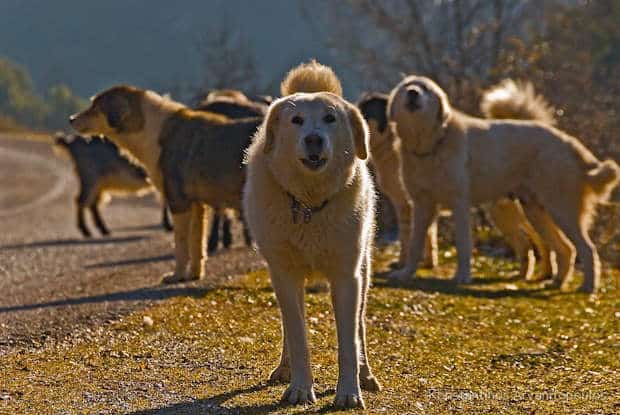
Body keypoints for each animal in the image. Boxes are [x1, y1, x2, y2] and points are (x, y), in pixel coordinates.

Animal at [69, 86, 260, 284]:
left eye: (95, 107)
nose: (71, 119)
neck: (151, 131)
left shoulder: (178, 201)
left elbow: (181, 245)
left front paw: (177, 276)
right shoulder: (196, 204)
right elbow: (197, 244)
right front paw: (194, 275)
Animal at [242, 61, 378, 410]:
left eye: (330, 118)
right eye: (297, 120)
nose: (314, 139)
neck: (308, 203)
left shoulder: (346, 277)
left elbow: (348, 342)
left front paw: (349, 392)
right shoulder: (286, 275)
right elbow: (299, 337)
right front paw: (301, 389)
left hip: (363, 271)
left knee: (359, 327)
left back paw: (366, 375)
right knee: (290, 329)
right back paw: (285, 369)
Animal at [390, 76, 616, 294]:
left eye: (426, 89)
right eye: (406, 87)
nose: (412, 93)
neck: (432, 144)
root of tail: (572, 144)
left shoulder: (459, 204)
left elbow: (463, 245)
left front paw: (462, 277)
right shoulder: (422, 206)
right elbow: (415, 245)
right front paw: (406, 273)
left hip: (561, 211)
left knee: (587, 249)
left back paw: (588, 287)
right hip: (533, 213)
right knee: (566, 249)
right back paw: (557, 282)